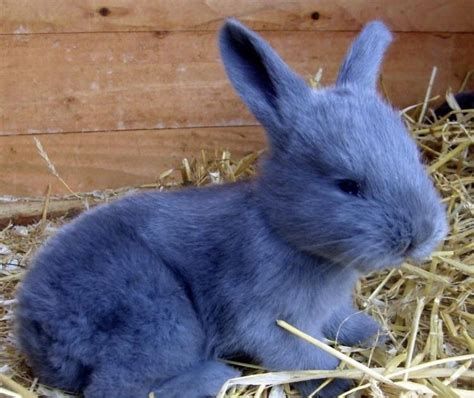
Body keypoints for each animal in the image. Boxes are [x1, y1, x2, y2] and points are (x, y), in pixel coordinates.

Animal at [15, 18, 448, 398]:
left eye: (414, 158)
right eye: (348, 185)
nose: (420, 235)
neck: (281, 230)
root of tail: (35, 328)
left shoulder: (329, 310)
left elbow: (345, 324)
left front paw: (379, 337)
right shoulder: (271, 322)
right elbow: (304, 357)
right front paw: (338, 382)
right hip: (159, 319)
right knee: (119, 388)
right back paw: (218, 375)